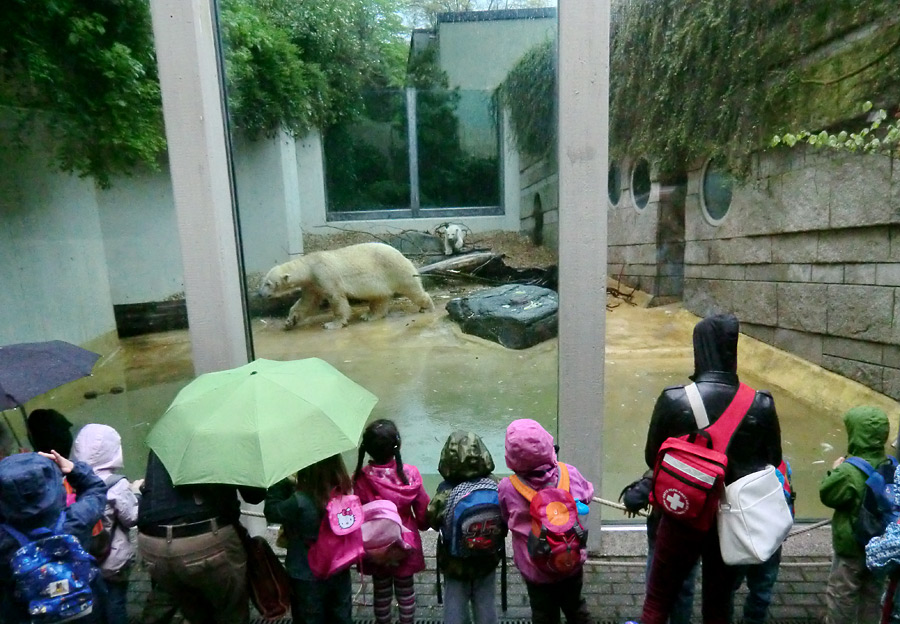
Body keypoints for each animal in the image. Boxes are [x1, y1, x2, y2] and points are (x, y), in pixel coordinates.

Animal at [258, 243, 434, 332]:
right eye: (263, 281)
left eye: (268, 284)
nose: (259, 294)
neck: (309, 266)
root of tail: (402, 254)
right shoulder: (312, 284)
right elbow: (307, 303)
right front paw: (289, 321)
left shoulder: (324, 274)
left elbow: (336, 298)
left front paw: (332, 324)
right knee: (379, 297)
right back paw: (369, 315)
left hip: (394, 269)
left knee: (412, 289)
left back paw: (427, 307)